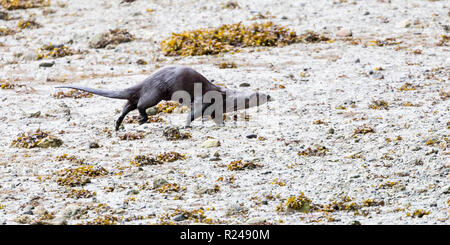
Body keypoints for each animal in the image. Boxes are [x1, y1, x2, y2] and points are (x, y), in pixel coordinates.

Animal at [58, 64, 272, 130]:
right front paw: (186, 126)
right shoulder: (204, 100)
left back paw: (118, 125)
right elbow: (193, 113)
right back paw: (142, 119)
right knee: (141, 105)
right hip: (155, 93)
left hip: (145, 93)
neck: (224, 96)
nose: (270, 95)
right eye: (260, 94)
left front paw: (223, 124)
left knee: (128, 105)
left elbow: (216, 116)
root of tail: (146, 80)